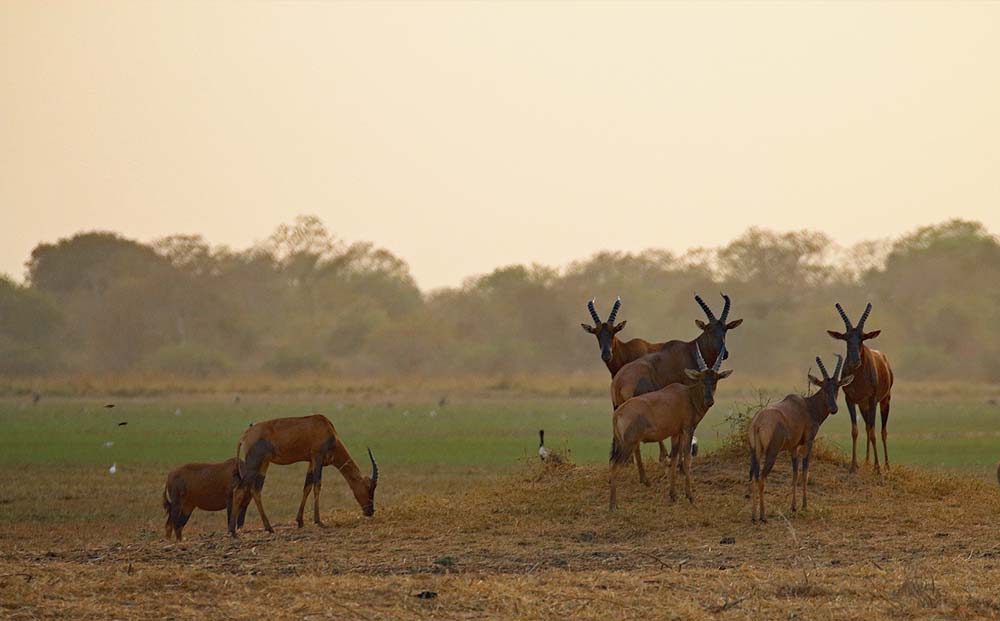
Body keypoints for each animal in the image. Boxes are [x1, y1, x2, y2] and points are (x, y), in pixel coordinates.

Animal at [228, 414, 378, 536]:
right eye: (369, 488)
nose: (370, 511)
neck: (326, 427)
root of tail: (245, 435)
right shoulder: (317, 457)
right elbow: (317, 485)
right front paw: (319, 522)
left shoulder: (311, 461)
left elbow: (307, 487)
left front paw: (300, 521)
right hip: (253, 464)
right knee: (239, 489)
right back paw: (233, 531)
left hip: (264, 464)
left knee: (256, 490)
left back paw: (269, 528)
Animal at [604, 344, 732, 508]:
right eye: (701, 378)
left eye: (715, 379)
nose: (709, 401)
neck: (687, 396)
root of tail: (618, 413)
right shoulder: (687, 429)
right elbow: (687, 459)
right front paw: (690, 497)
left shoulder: (675, 433)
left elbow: (674, 459)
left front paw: (673, 495)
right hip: (628, 444)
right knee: (615, 465)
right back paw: (613, 506)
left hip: (621, 443)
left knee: (612, 462)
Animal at [748, 356, 856, 520]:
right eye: (823, 387)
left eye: (837, 386)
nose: (834, 409)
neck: (807, 405)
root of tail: (757, 423)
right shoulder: (808, 441)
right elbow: (805, 471)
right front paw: (804, 505)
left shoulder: (793, 447)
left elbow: (795, 473)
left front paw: (793, 507)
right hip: (771, 452)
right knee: (762, 477)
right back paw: (763, 516)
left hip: (756, 452)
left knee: (754, 476)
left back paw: (754, 516)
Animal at [828, 302, 900, 472]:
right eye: (846, 338)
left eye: (862, 338)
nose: (855, 361)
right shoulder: (850, 400)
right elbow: (855, 431)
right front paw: (854, 465)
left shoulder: (873, 400)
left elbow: (874, 432)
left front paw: (877, 468)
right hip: (863, 405)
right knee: (867, 427)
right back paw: (867, 461)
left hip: (885, 401)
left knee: (882, 431)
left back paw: (886, 465)